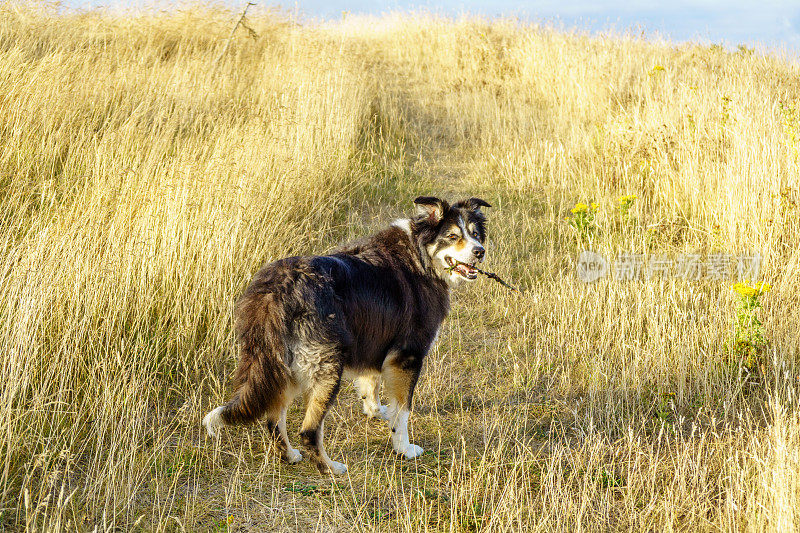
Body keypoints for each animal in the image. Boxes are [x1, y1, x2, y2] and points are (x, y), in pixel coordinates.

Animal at [202, 195, 488, 474]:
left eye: (475, 234)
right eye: (452, 236)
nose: (480, 252)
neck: (420, 256)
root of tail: (275, 291)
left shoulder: (375, 341)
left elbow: (370, 384)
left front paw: (375, 411)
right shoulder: (407, 356)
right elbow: (402, 411)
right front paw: (404, 448)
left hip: (281, 367)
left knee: (273, 420)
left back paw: (290, 456)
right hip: (326, 367)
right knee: (308, 430)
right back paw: (330, 469)